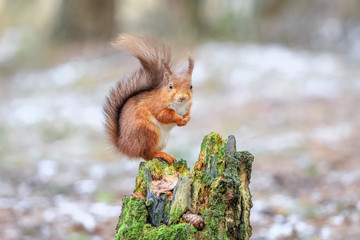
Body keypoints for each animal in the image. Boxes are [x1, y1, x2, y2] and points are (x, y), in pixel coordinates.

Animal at [103, 34, 194, 165]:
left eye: (191, 86)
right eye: (170, 86)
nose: (182, 97)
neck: (178, 105)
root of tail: (124, 146)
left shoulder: (187, 106)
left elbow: (188, 113)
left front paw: (186, 119)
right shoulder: (156, 105)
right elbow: (165, 115)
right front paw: (178, 119)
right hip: (148, 132)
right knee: (146, 154)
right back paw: (162, 155)